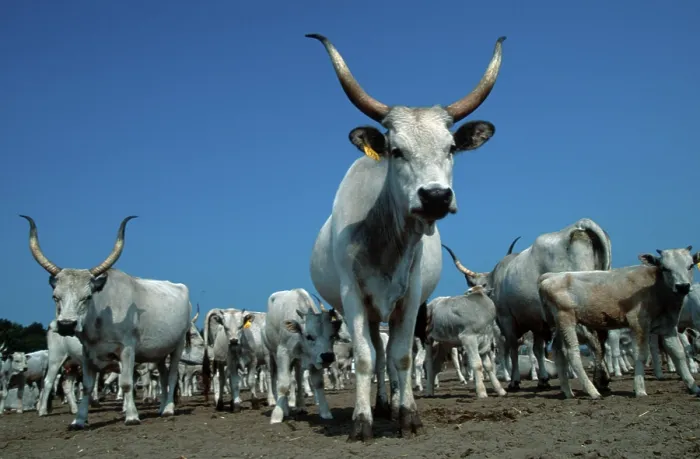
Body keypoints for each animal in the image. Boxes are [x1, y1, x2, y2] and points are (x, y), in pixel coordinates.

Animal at [20, 215, 191, 428]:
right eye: (55, 297)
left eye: (87, 297)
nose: (66, 324)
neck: (101, 321)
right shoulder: (87, 353)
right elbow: (87, 386)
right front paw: (79, 419)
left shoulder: (127, 350)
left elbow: (126, 383)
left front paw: (132, 416)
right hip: (158, 352)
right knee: (164, 377)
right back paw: (161, 408)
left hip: (178, 345)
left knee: (173, 375)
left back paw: (168, 409)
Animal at [263, 288, 341, 424]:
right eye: (309, 336)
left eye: (332, 336)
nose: (327, 356)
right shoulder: (283, 353)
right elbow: (283, 384)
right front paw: (277, 415)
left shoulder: (314, 358)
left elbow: (318, 383)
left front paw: (325, 412)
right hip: (273, 355)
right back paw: (285, 408)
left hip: (298, 362)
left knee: (298, 379)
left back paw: (300, 406)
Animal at [307, 32, 506, 441]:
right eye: (396, 150)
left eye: (451, 147)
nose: (436, 196)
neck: (384, 239)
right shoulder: (353, 296)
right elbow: (366, 357)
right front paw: (362, 421)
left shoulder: (411, 296)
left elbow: (401, 356)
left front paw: (408, 415)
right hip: (369, 312)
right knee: (376, 354)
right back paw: (381, 404)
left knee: (394, 356)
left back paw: (394, 404)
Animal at [441, 219, 612, 393]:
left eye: (480, 285)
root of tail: (580, 225)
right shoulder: (537, 322)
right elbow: (538, 350)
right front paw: (543, 379)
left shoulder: (507, 319)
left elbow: (514, 349)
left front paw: (515, 381)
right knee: (601, 336)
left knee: (592, 337)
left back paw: (600, 379)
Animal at [538, 246, 700, 399]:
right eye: (665, 268)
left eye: (691, 265)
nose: (683, 286)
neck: (656, 287)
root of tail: (551, 276)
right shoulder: (638, 322)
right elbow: (641, 354)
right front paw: (640, 389)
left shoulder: (668, 326)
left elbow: (678, 353)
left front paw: (693, 386)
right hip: (566, 318)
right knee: (571, 352)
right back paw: (593, 392)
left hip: (559, 324)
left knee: (558, 351)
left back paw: (568, 392)